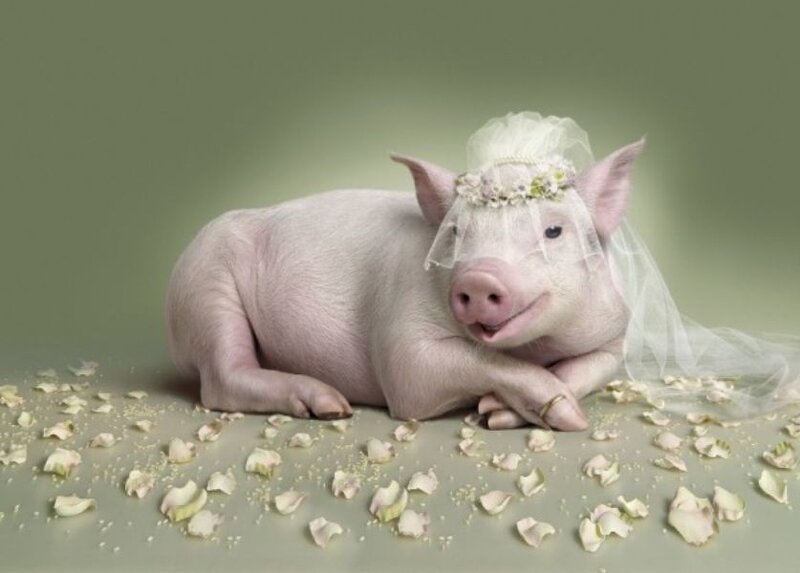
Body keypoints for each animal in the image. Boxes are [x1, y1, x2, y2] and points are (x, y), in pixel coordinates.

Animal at [166, 138, 645, 431]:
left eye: (553, 231)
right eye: (455, 232)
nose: (479, 277)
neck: (531, 348)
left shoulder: (614, 332)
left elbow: (590, 368)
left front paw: (497, 413)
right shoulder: (403, 342)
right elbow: (428, 370)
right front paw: (565, 418)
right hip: (206, 287)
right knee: (222, 377)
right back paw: (331, 406)